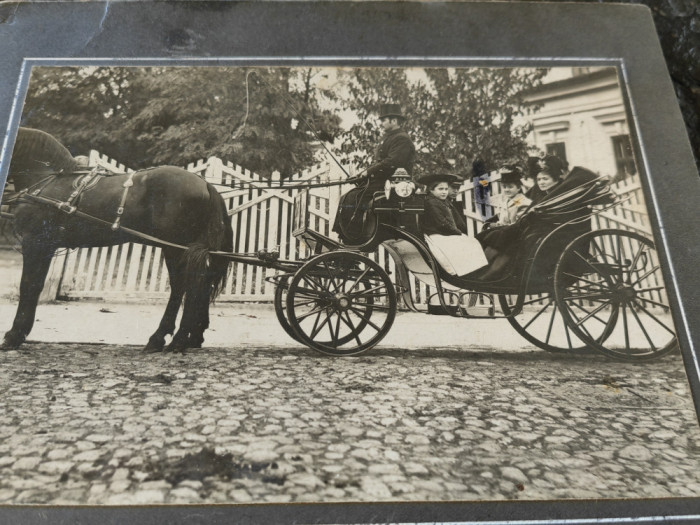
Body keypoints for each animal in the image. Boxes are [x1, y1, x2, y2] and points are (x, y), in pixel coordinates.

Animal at [1, 126, 234, 352]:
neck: (48, 180)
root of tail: (205, 184)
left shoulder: (35, 244)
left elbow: (28, 285)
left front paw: (14, 335)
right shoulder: (45, 246)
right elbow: (34, 285)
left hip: (175, 248)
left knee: (183, 286)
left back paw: (168, 339)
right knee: (199, 284)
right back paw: (191, 336)